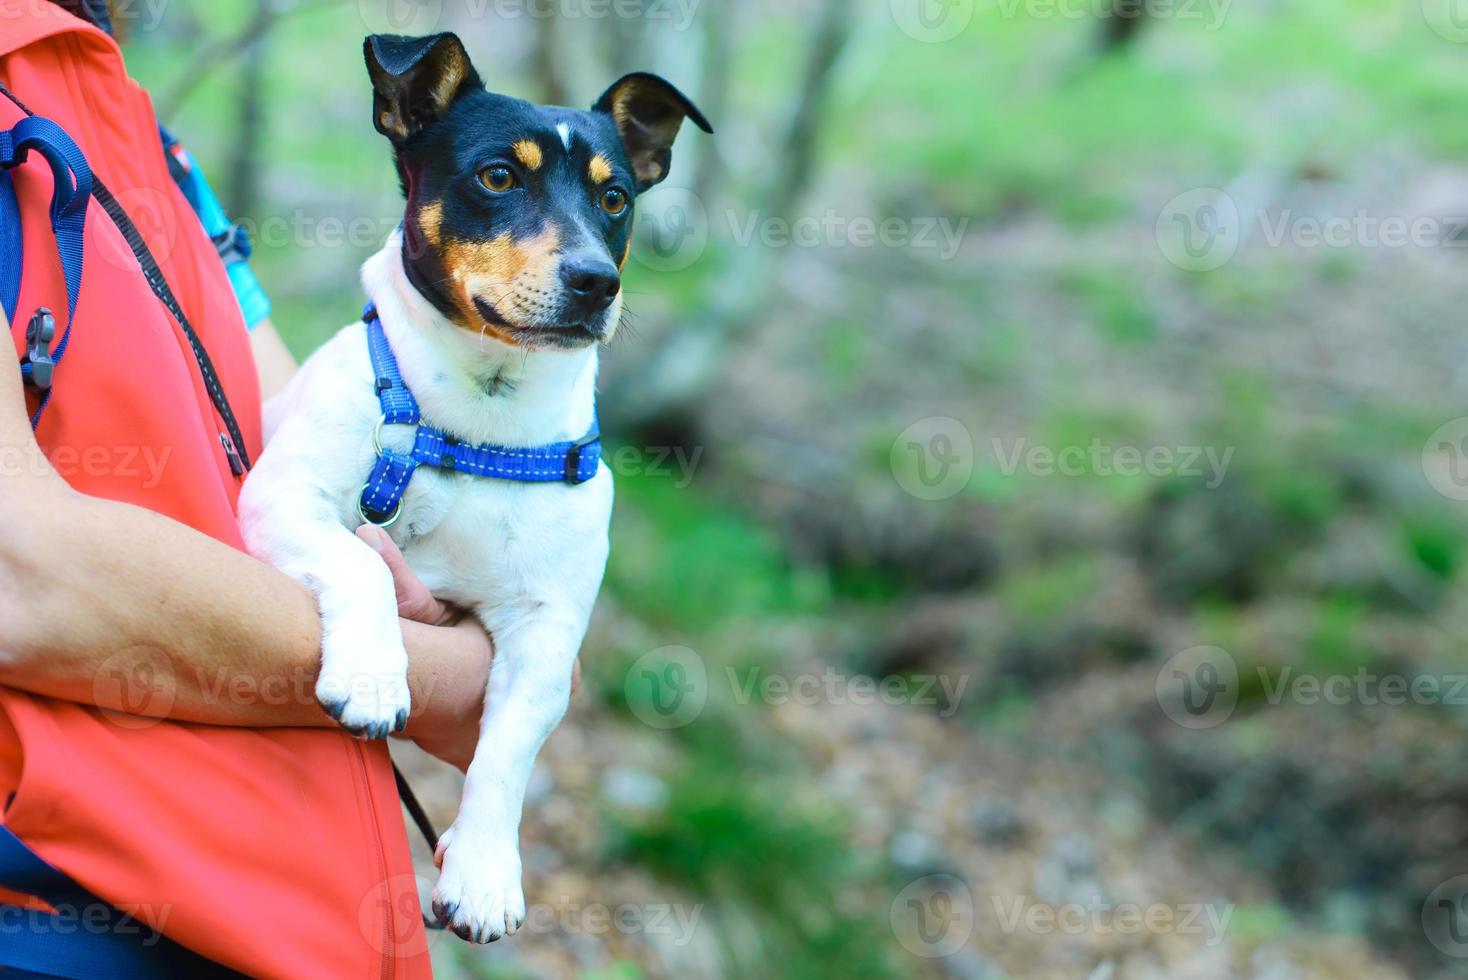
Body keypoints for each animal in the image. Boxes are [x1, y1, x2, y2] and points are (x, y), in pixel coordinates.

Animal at [239, 32, 710, 938]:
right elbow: (361, 563)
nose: (597, 281)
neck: (474, 426)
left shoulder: (546, 633)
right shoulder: (280, 500)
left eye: (615, 198)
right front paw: (374, 675)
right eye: (498, 178)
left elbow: (508, 753)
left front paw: (487, 871)